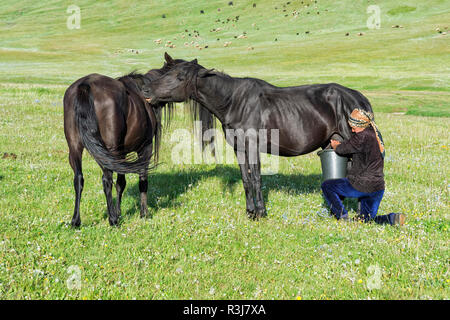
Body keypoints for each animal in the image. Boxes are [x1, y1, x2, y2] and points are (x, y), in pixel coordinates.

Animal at [62, 54, 184, 228]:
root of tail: (85, 85)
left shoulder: (122, 154)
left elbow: (121, 183)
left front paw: (119, 212)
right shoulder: (145, 148)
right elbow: (142, 180)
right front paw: (143, 213)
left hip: (76, 148)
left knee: (78, 179)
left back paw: (76, 221)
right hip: (110, 151)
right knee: (106, 180)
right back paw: (112, 219)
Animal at [142, 57, 374, 219]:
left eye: (179, 77)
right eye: (165, 72)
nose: (145, 90)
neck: (234, 102)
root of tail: (356, 97)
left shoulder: (253, 147)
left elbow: (255, 178)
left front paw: (261, 212)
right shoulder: (239, 149)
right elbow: (246, 180)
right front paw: (250, 212)